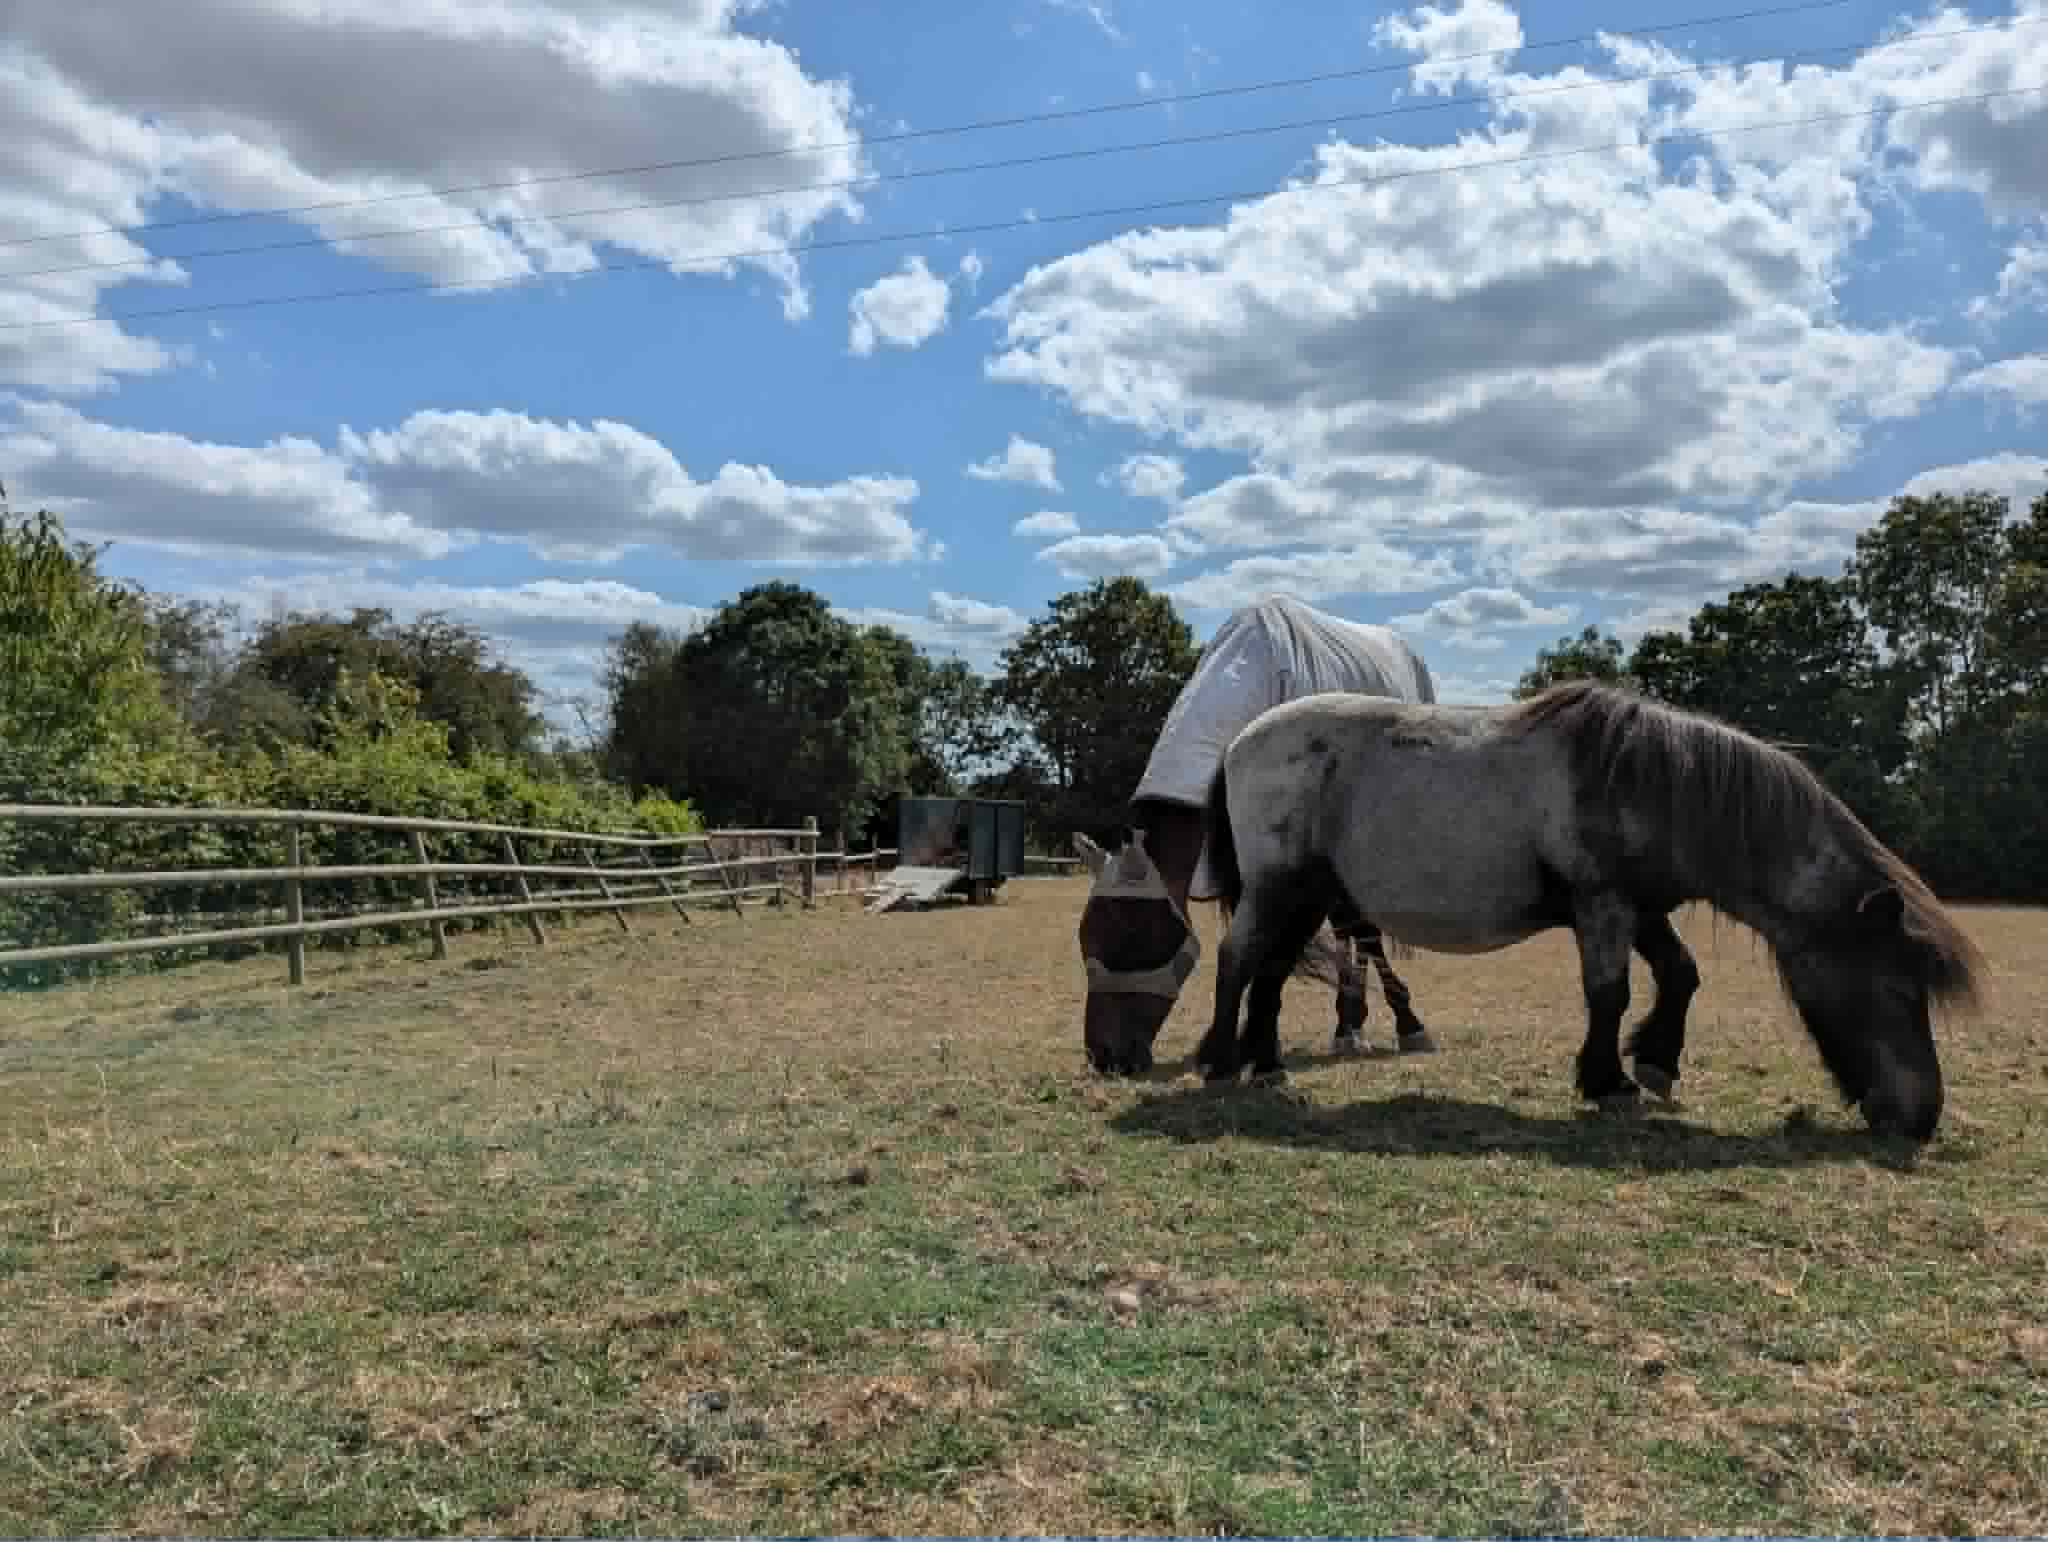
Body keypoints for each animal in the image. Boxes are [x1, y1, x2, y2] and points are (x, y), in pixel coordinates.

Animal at [1074, 594, 1442, 1075]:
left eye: (1132, 940)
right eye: (1085, 939)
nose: (1105, 1056)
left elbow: (1352, 930)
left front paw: (1405, 1022)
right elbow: (1253, 945)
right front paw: (1235, 1041)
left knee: (1358, 928)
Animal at [1186, 680, 1986, 1141]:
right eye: (1898, 989)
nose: (1922, 1118)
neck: (1653, 779)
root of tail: (1241, 742)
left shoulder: (1642, 908)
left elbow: (1681, 975)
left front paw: (1655, 1061)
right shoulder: (1602, 905)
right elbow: (1611, 991)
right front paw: (1609, 1081)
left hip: (1307, 897)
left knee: (1271, 970)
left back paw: (1267, 1065)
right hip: (1279, 888)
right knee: (1237, 962)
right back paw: (1222, 1062)